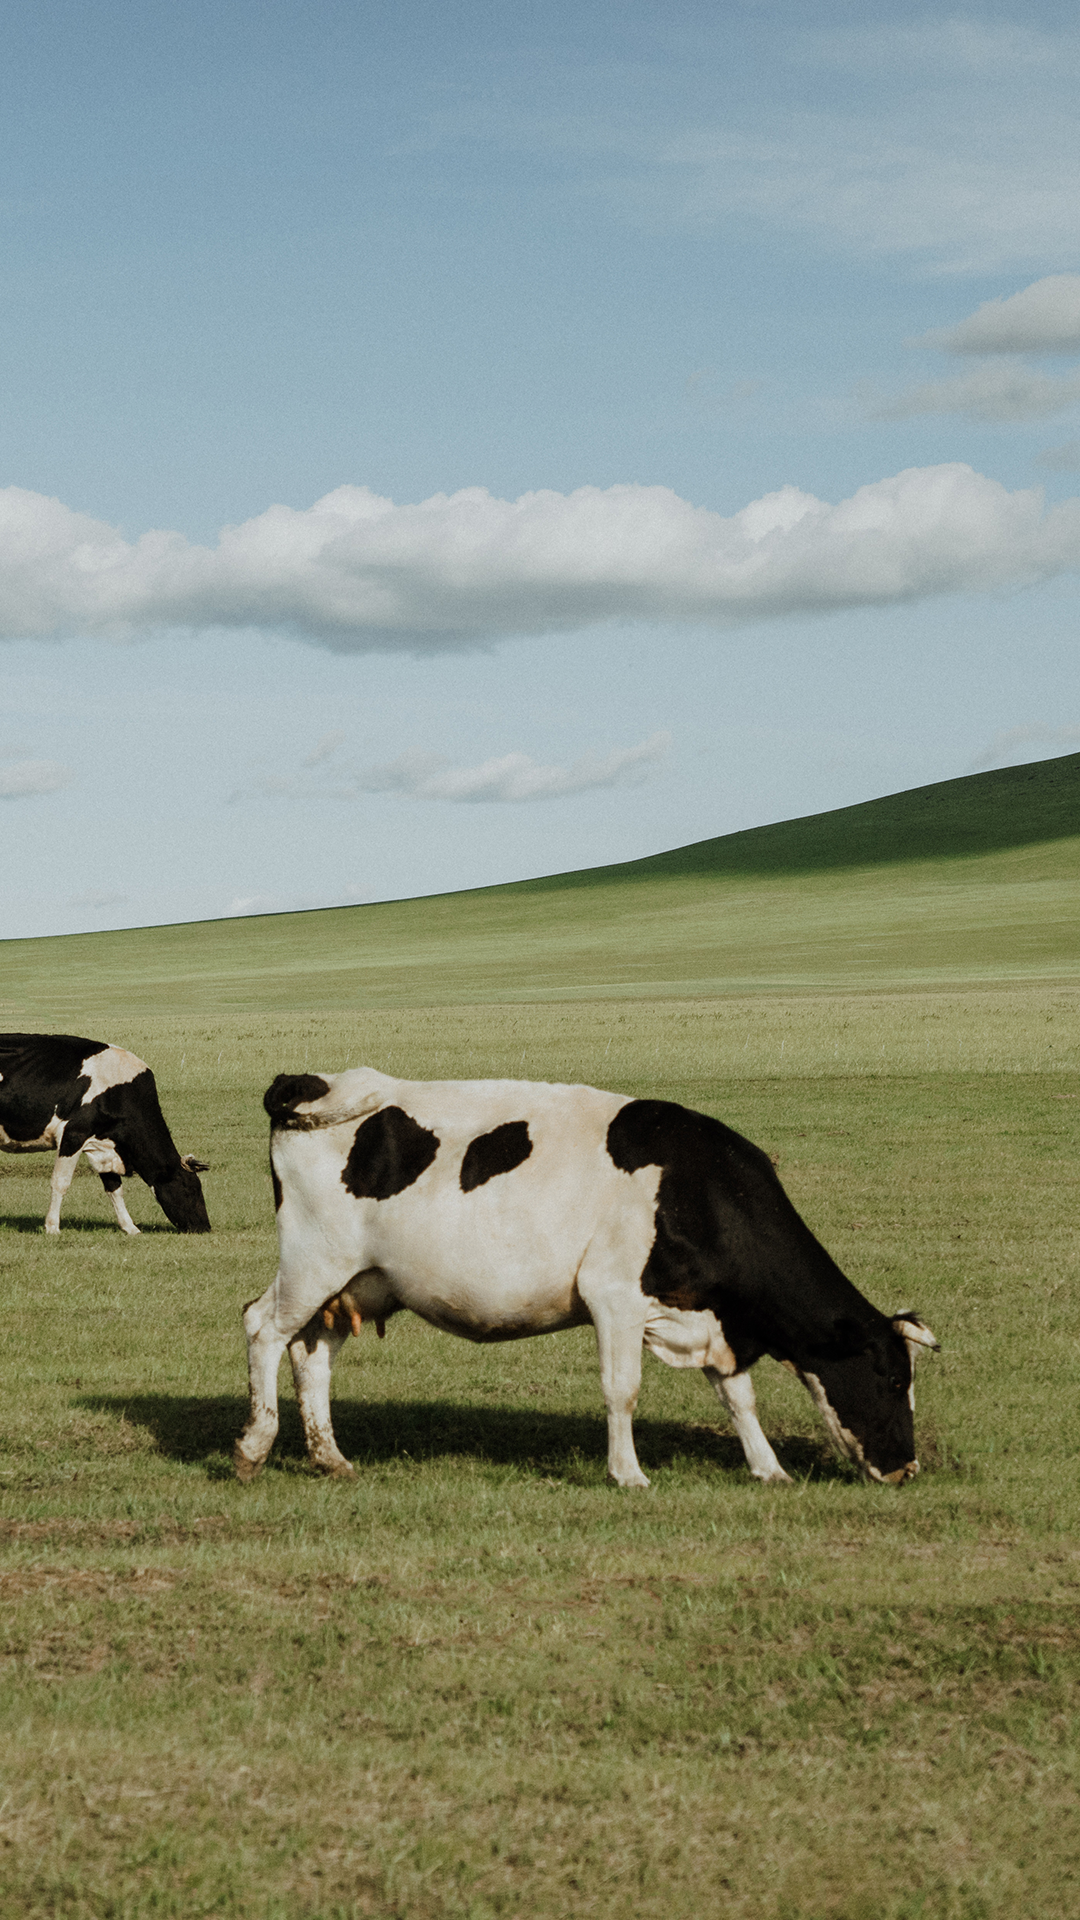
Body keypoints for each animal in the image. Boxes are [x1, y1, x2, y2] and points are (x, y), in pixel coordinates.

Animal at [0, 1029, 209, 1236]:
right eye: (191, 1188)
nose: (205, 1227)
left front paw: (130, 1227)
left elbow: (114, 1188)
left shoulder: (105, 1146)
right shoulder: (73, 1135)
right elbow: (60, 1182)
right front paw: (52, 1227)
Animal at [235, 1075, 933, 1489]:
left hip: (354, 1283)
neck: (697, 1187)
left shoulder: (711, 1316)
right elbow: (622, 1390)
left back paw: (330, 1458)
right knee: (262, 1327)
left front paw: (768, 1468)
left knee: (312, 1353)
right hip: (312, 1263)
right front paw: (628, 1475)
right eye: (891, 1378)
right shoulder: (615, 1296)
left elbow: (740, 1398)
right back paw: (254, 1449)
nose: (906, 1466)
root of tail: (307, 1084)